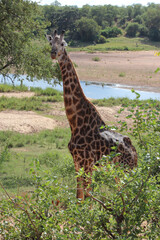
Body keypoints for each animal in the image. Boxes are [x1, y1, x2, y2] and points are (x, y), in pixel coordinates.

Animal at [46, 29, 138, 199]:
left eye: (62, 44)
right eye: (50, 43)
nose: (54, 53)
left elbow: (88, 197)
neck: (75, 123)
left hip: (126, 169)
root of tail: (135, 152)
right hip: (118, 171)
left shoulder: (88, 162)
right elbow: (79, 197)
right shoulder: (77, 162)